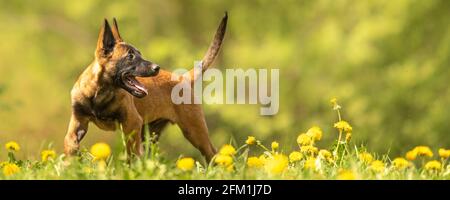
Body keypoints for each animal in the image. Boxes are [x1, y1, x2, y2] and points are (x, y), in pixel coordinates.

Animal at [65, 12, 227, 162]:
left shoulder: (132, 123)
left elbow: (131, 152)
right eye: (130, 56)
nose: (157, 68)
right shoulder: (78, 122)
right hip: (150, 135)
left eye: (139, 54)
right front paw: (71, 161)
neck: (99, 93)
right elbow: (69, 142)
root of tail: (183, 78)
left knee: (212, 153)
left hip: (194, 130)